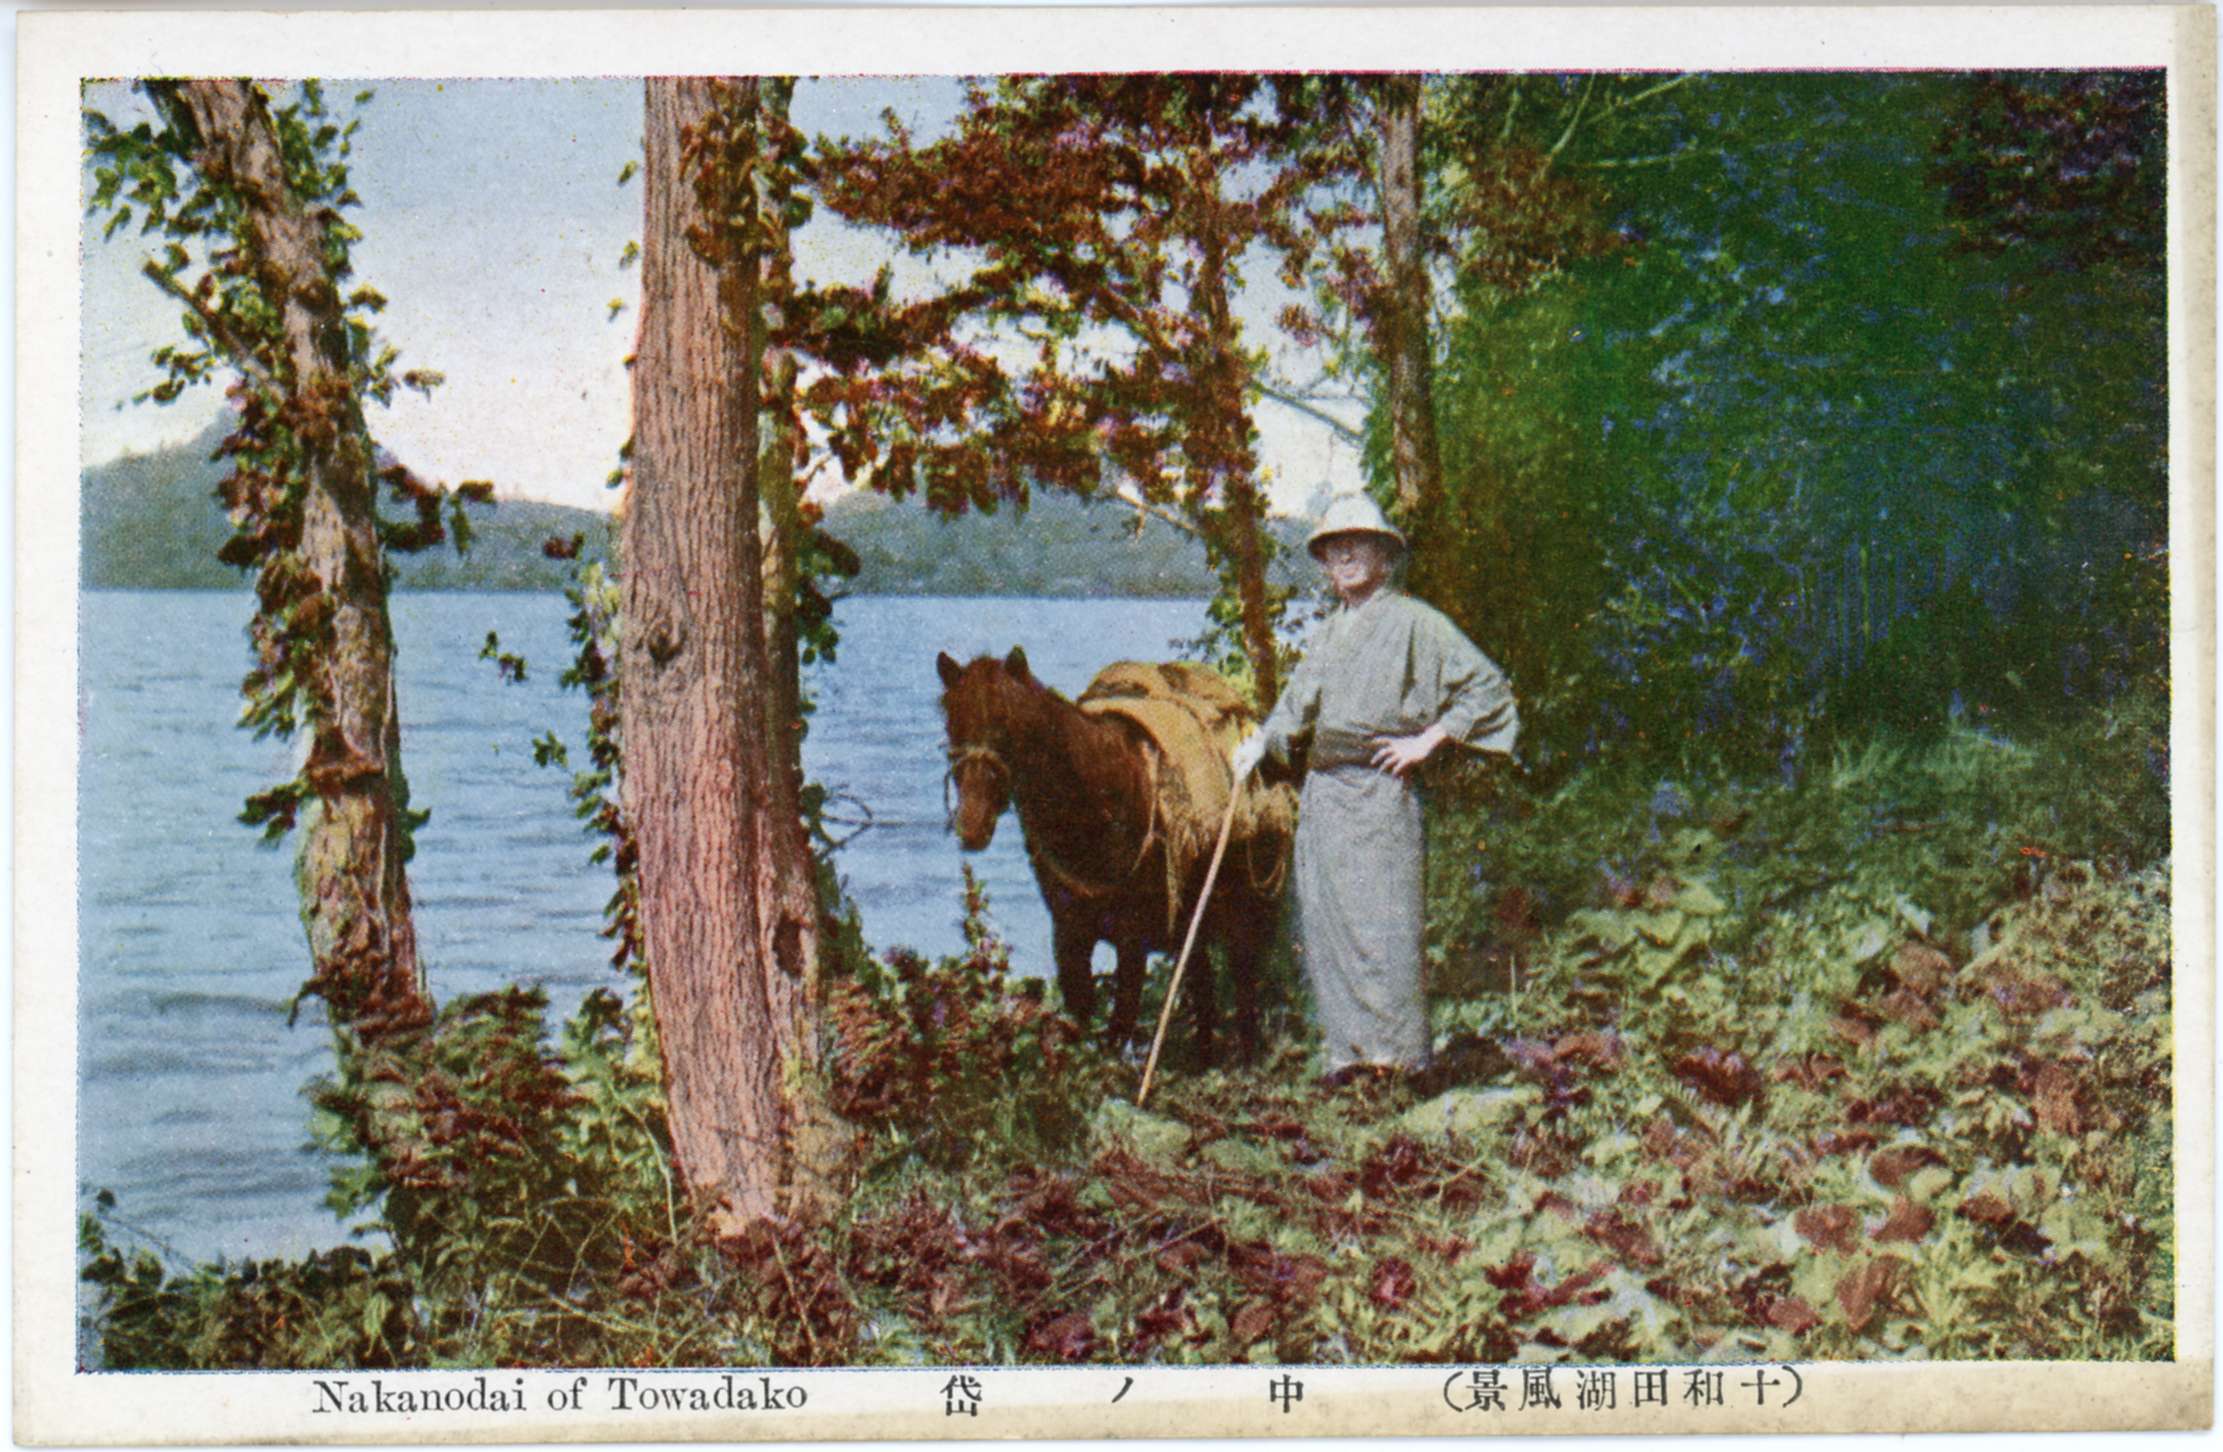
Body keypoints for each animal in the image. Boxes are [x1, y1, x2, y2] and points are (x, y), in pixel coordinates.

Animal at [936, 646, 1287, 1065]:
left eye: (1006, 723)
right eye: (952, 724)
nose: (971, 825)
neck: (1101, 795)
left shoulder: (1131, 939)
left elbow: (1119, 1025)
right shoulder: (1069, 931)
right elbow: (1080, 1016)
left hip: (1242, 910)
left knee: (1245, 983)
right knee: (1202, 982)